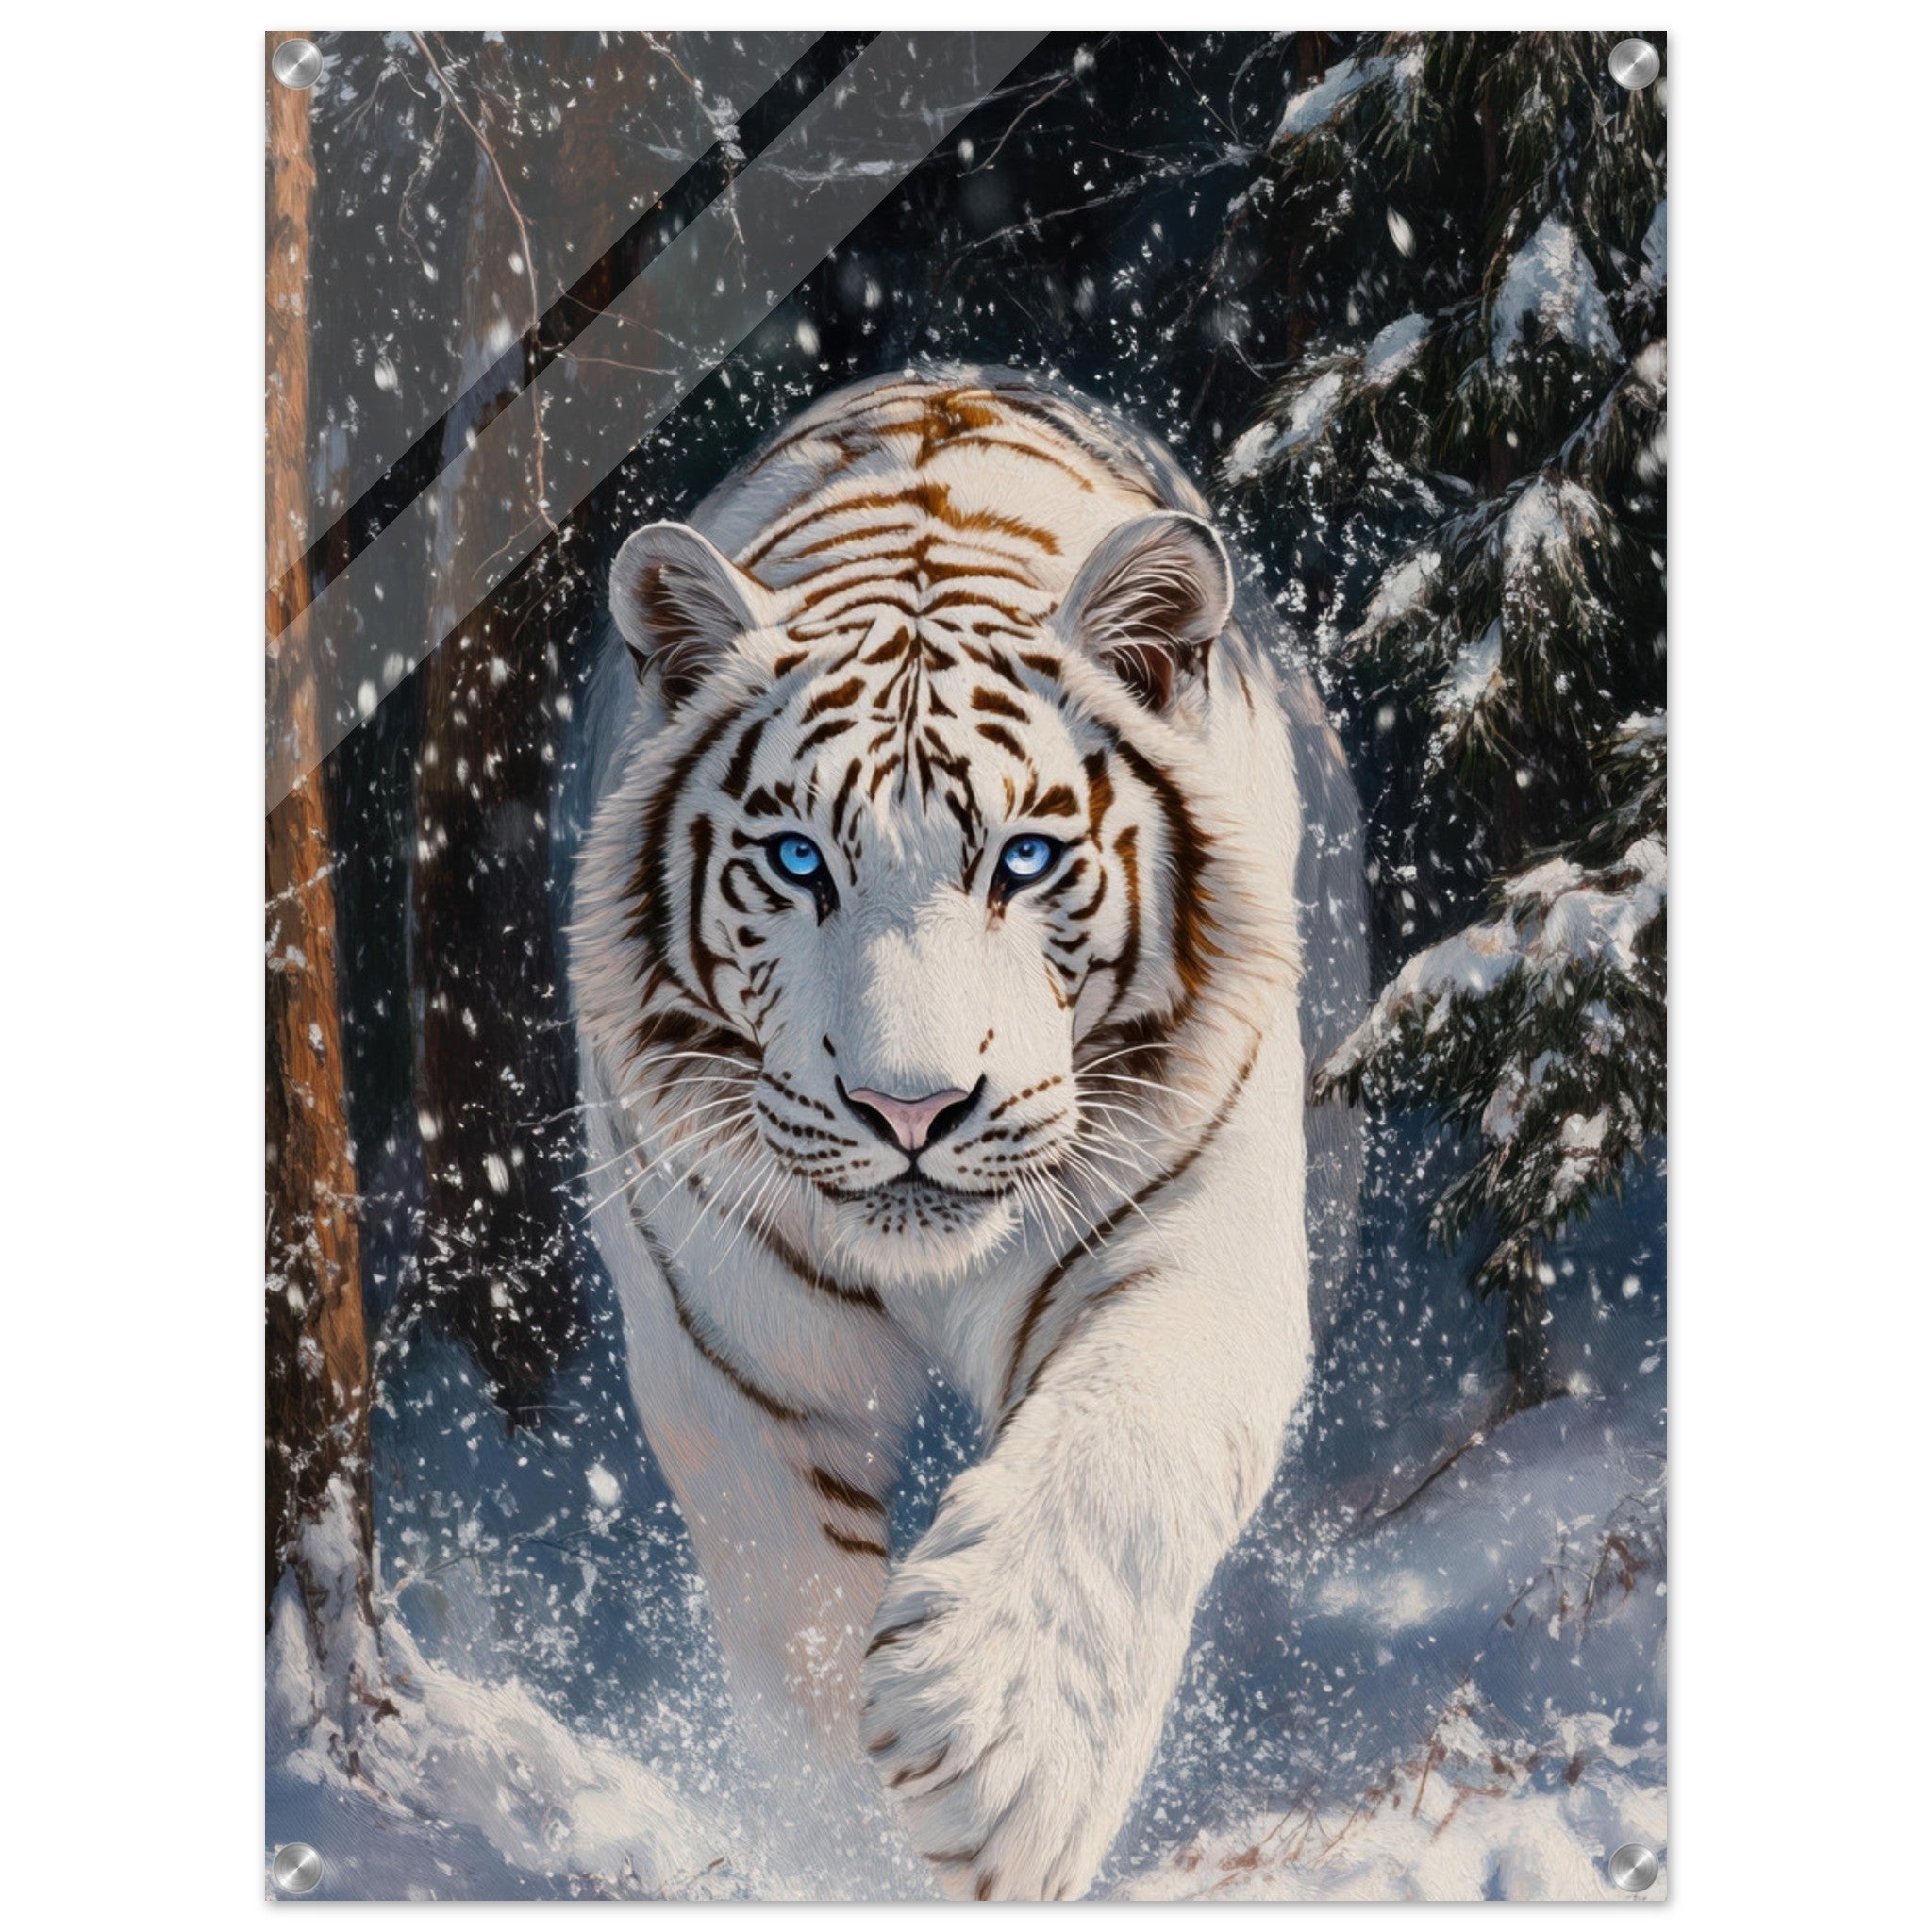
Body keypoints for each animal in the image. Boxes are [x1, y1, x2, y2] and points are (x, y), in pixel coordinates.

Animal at [568, 365, 1364, 1900]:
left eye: (1027, 858)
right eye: (797, 861)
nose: (909, 1106)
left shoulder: (1197, 1242)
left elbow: (1122, 1458)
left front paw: (996, 1750)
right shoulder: (730, 1347)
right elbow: (793, 1618)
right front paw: (848, 1850)